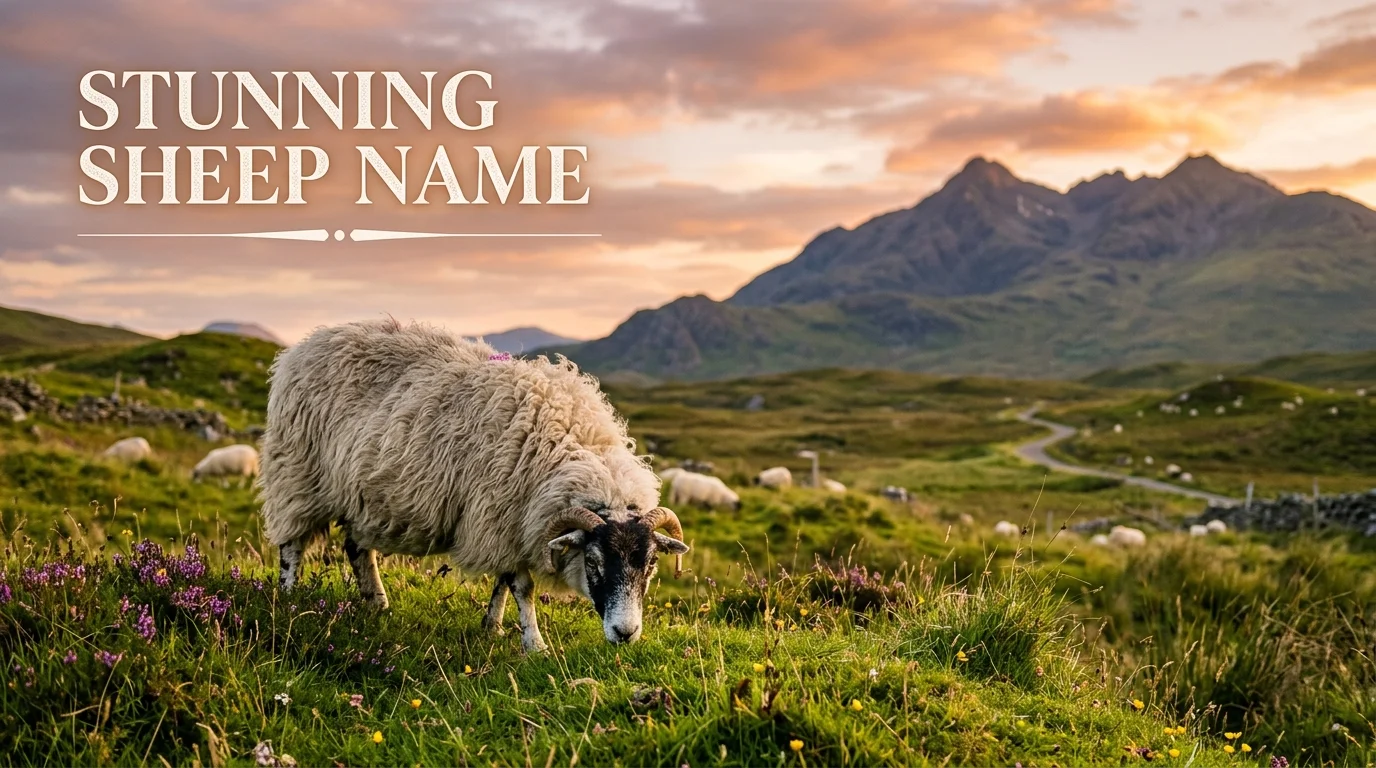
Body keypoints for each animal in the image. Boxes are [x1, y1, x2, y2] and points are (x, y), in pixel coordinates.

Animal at [258, 319, 689, 653]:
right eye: (594, 562)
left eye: (651, 564)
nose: (625, 633)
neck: (568, 448)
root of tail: (308, 343)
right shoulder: (499, 517)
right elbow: (522, 586)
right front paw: (534, 645)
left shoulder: (507, 526)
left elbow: (503, 583)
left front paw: (492, 626)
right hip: (296, 473)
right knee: (292, 544)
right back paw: (289, 598)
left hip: (362, 495)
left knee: (356, 548)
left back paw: (377, 603)